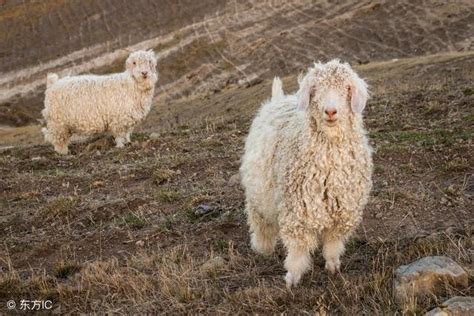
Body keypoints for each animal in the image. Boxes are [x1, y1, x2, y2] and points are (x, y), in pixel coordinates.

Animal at [243, 59, 372, 286]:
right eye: (315, 89)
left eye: (347, 88)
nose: (330, 111)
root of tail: (278, 99)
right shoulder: (298, 209)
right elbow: (298, 246)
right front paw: (292, 277)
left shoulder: (342, 210)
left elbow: (333, 242)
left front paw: (332, 265)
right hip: (258, 191)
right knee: (260, 221)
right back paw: (262, 248)